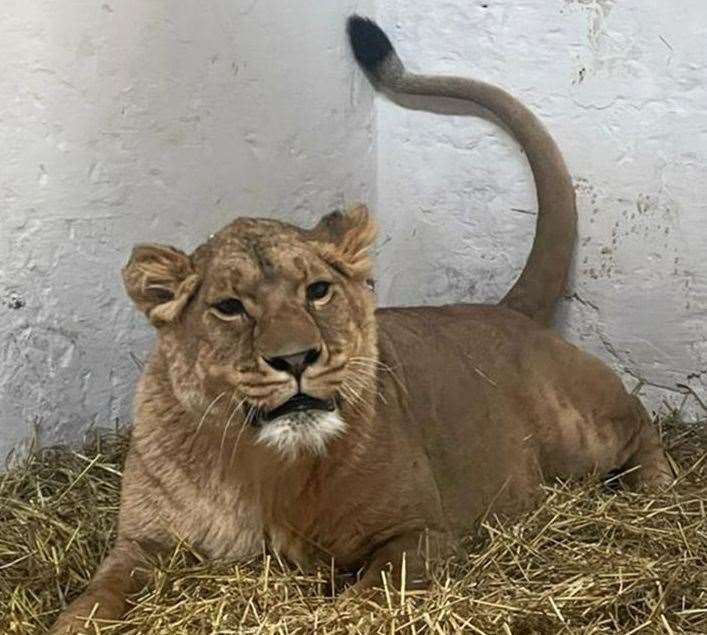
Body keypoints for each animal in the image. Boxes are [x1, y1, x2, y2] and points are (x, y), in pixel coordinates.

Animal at [48, 16, 668, 635]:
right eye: (229, 307)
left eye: (317, 291)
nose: (295, 358)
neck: (261, 470)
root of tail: (505, 308)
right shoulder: (140, 544)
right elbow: (93, 601)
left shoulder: (419, 534)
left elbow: (363, 604)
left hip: (579, 436)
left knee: (640, 422)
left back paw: (657, 491)